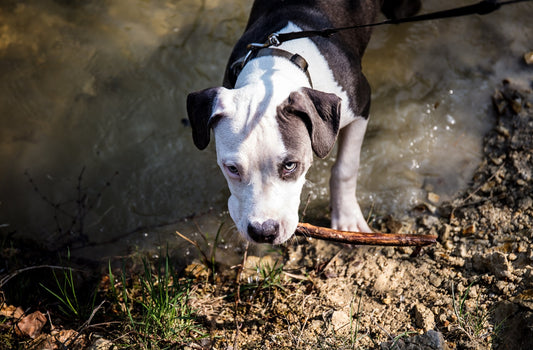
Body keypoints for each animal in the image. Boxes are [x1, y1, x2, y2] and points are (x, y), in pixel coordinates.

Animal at [187, 0, 420, 245]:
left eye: (290, 165)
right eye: (232, 168)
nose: (263, 231)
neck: (274, 69)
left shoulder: (361, 105)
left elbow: (346, 167)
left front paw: (347, 219)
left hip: (401, 11)